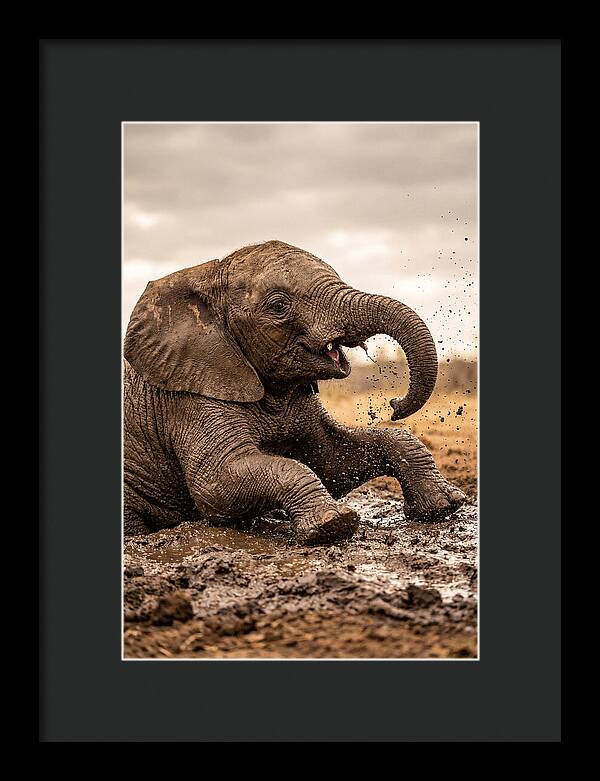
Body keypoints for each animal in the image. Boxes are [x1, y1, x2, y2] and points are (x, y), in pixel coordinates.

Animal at [123, 240, 467, 544]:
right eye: (279, 306)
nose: (394, 404)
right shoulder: (189, 398)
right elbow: (215, 485)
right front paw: (333, 524)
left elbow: (332, 460)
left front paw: (444, 506)